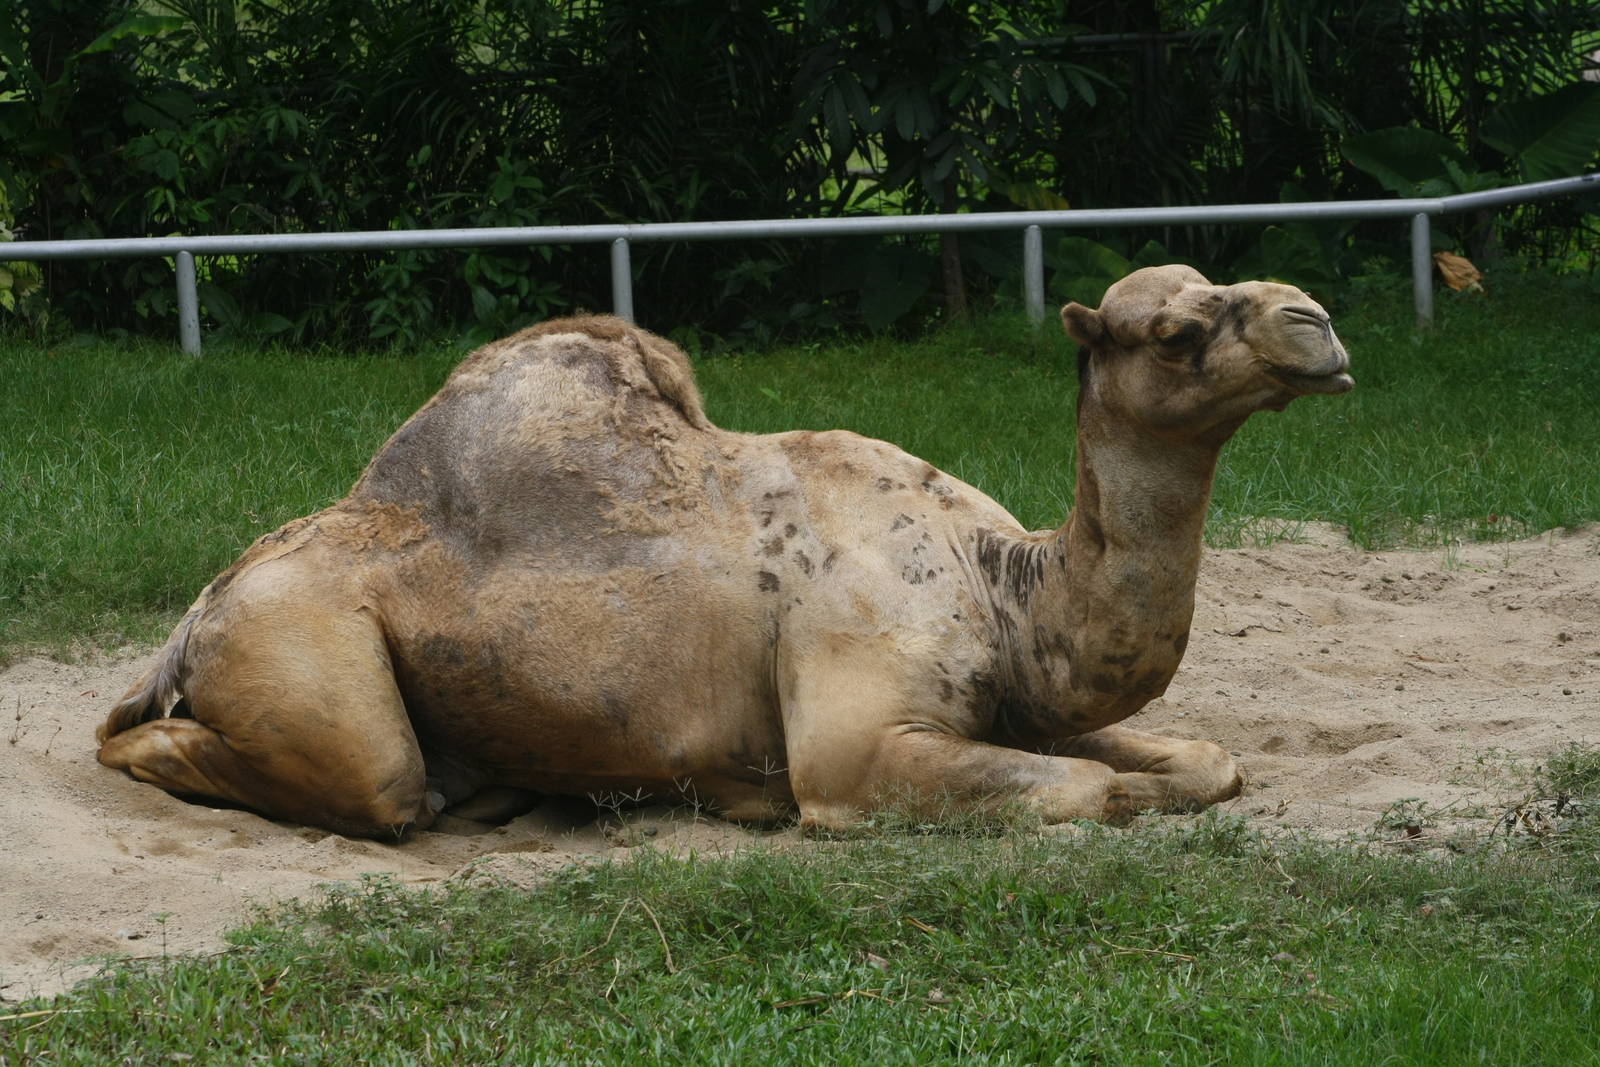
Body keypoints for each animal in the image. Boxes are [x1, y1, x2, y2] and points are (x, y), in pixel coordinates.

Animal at [97, 265, 1353, 838]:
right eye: (1175, 329)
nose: (1316, 322)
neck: (1003, 584)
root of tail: (193, 618)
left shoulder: (1013, 700)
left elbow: (1201, 759)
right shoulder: (858, 741)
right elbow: (1089, 789)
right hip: (295, 646)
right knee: (366, 777)